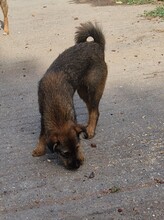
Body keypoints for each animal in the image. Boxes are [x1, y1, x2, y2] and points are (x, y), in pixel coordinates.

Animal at [32, 22, 107, 169]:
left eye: (78, 147)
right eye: (65, 154)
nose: (77, 165)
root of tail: (96, 45)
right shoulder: (43, 116)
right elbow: (42, 135)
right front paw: (40, 148)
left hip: (93, 89)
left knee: (95, 111)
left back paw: (90, 129)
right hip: (82, 91)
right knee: (91, 109)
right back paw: (87, 126)